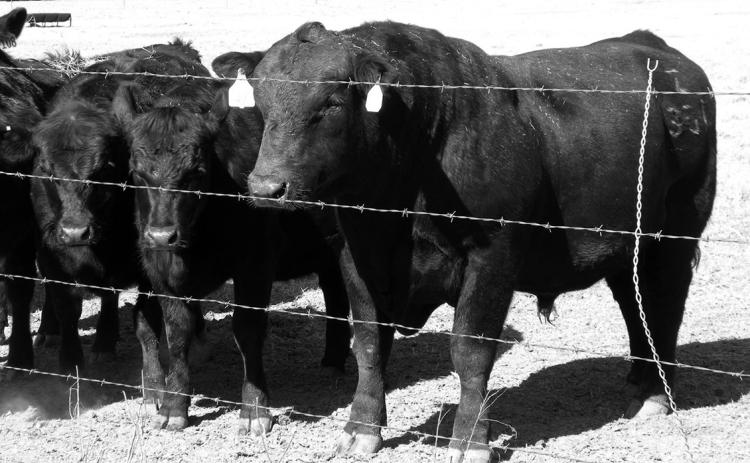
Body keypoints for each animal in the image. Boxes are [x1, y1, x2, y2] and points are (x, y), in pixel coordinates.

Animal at [29, 39, 208, 373]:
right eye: (48, 171)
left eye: (103, 169)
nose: (75, 232)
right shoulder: (51, 251)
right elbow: (66, 306)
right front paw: (70, 359)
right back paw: (49, 331)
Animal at [111, 60, 351, 432]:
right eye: (137, 172)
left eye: (196, 171)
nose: (162, 235)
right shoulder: (159, 269)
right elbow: (176, 332)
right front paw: (173, 405)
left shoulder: (256, 262)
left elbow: (247, 329)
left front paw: (254, 408)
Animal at [244, 22, 716, 462]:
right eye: (260, 102)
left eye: (332, 102)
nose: (266, 187)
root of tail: (655, 48)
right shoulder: (354, 254)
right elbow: (369, 344)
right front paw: (361, 430)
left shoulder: (492, 256)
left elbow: (470, 350)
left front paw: (471, 440)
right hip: (626, 248)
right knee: (636, 307)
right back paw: (639, 381)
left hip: (674, 236)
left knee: (664, 305)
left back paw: (656, 394)